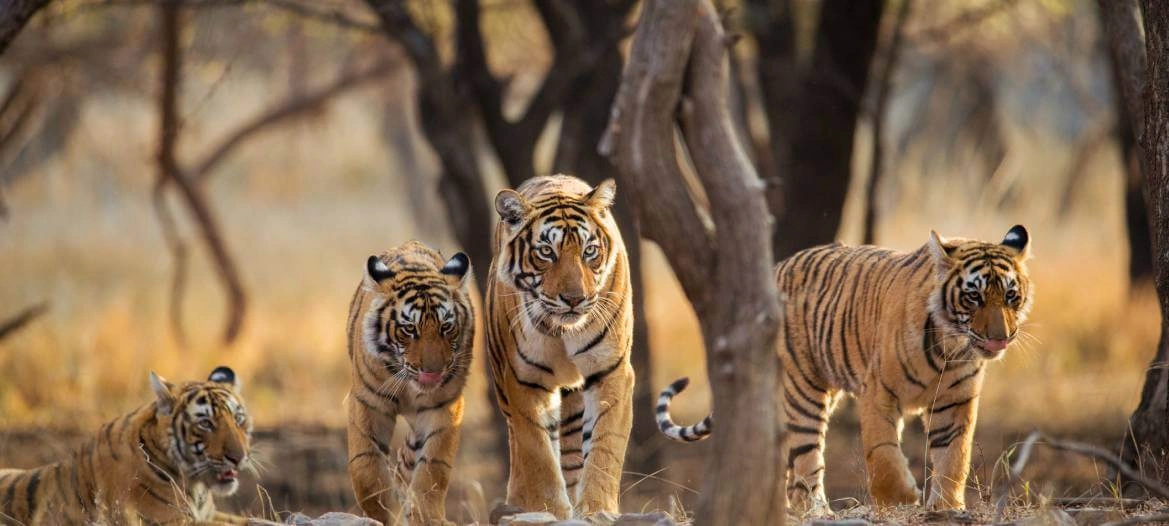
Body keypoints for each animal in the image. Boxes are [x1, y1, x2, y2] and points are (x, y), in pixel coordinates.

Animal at [346, 240, 474, 526]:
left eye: (446, 327)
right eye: (409, 329)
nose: (433, 372)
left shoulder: (444, 407)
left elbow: (432, 468)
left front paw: (425, 516)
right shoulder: (368, 403)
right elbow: (366, 468)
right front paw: (381, 513)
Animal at [486, 175, 634, 519]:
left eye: (589, 251)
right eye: (546, 252)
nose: (574, 299)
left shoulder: (611, 371)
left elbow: (605, 448)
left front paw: (597, 510)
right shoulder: (525, 381)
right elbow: (538, 454)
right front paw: (549, 509)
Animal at [656, 226, 1034, 514]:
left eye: (1010, 296)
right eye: (974, 297)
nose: (1000, 338)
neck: (949, 346)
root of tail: (776, 267)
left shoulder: (955, 402)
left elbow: (954, 456)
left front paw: (946, 507)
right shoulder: (878, 392)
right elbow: (882, 453)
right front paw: (901, 499)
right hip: (804, 390)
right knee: (806, 460)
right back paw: (816, 511)